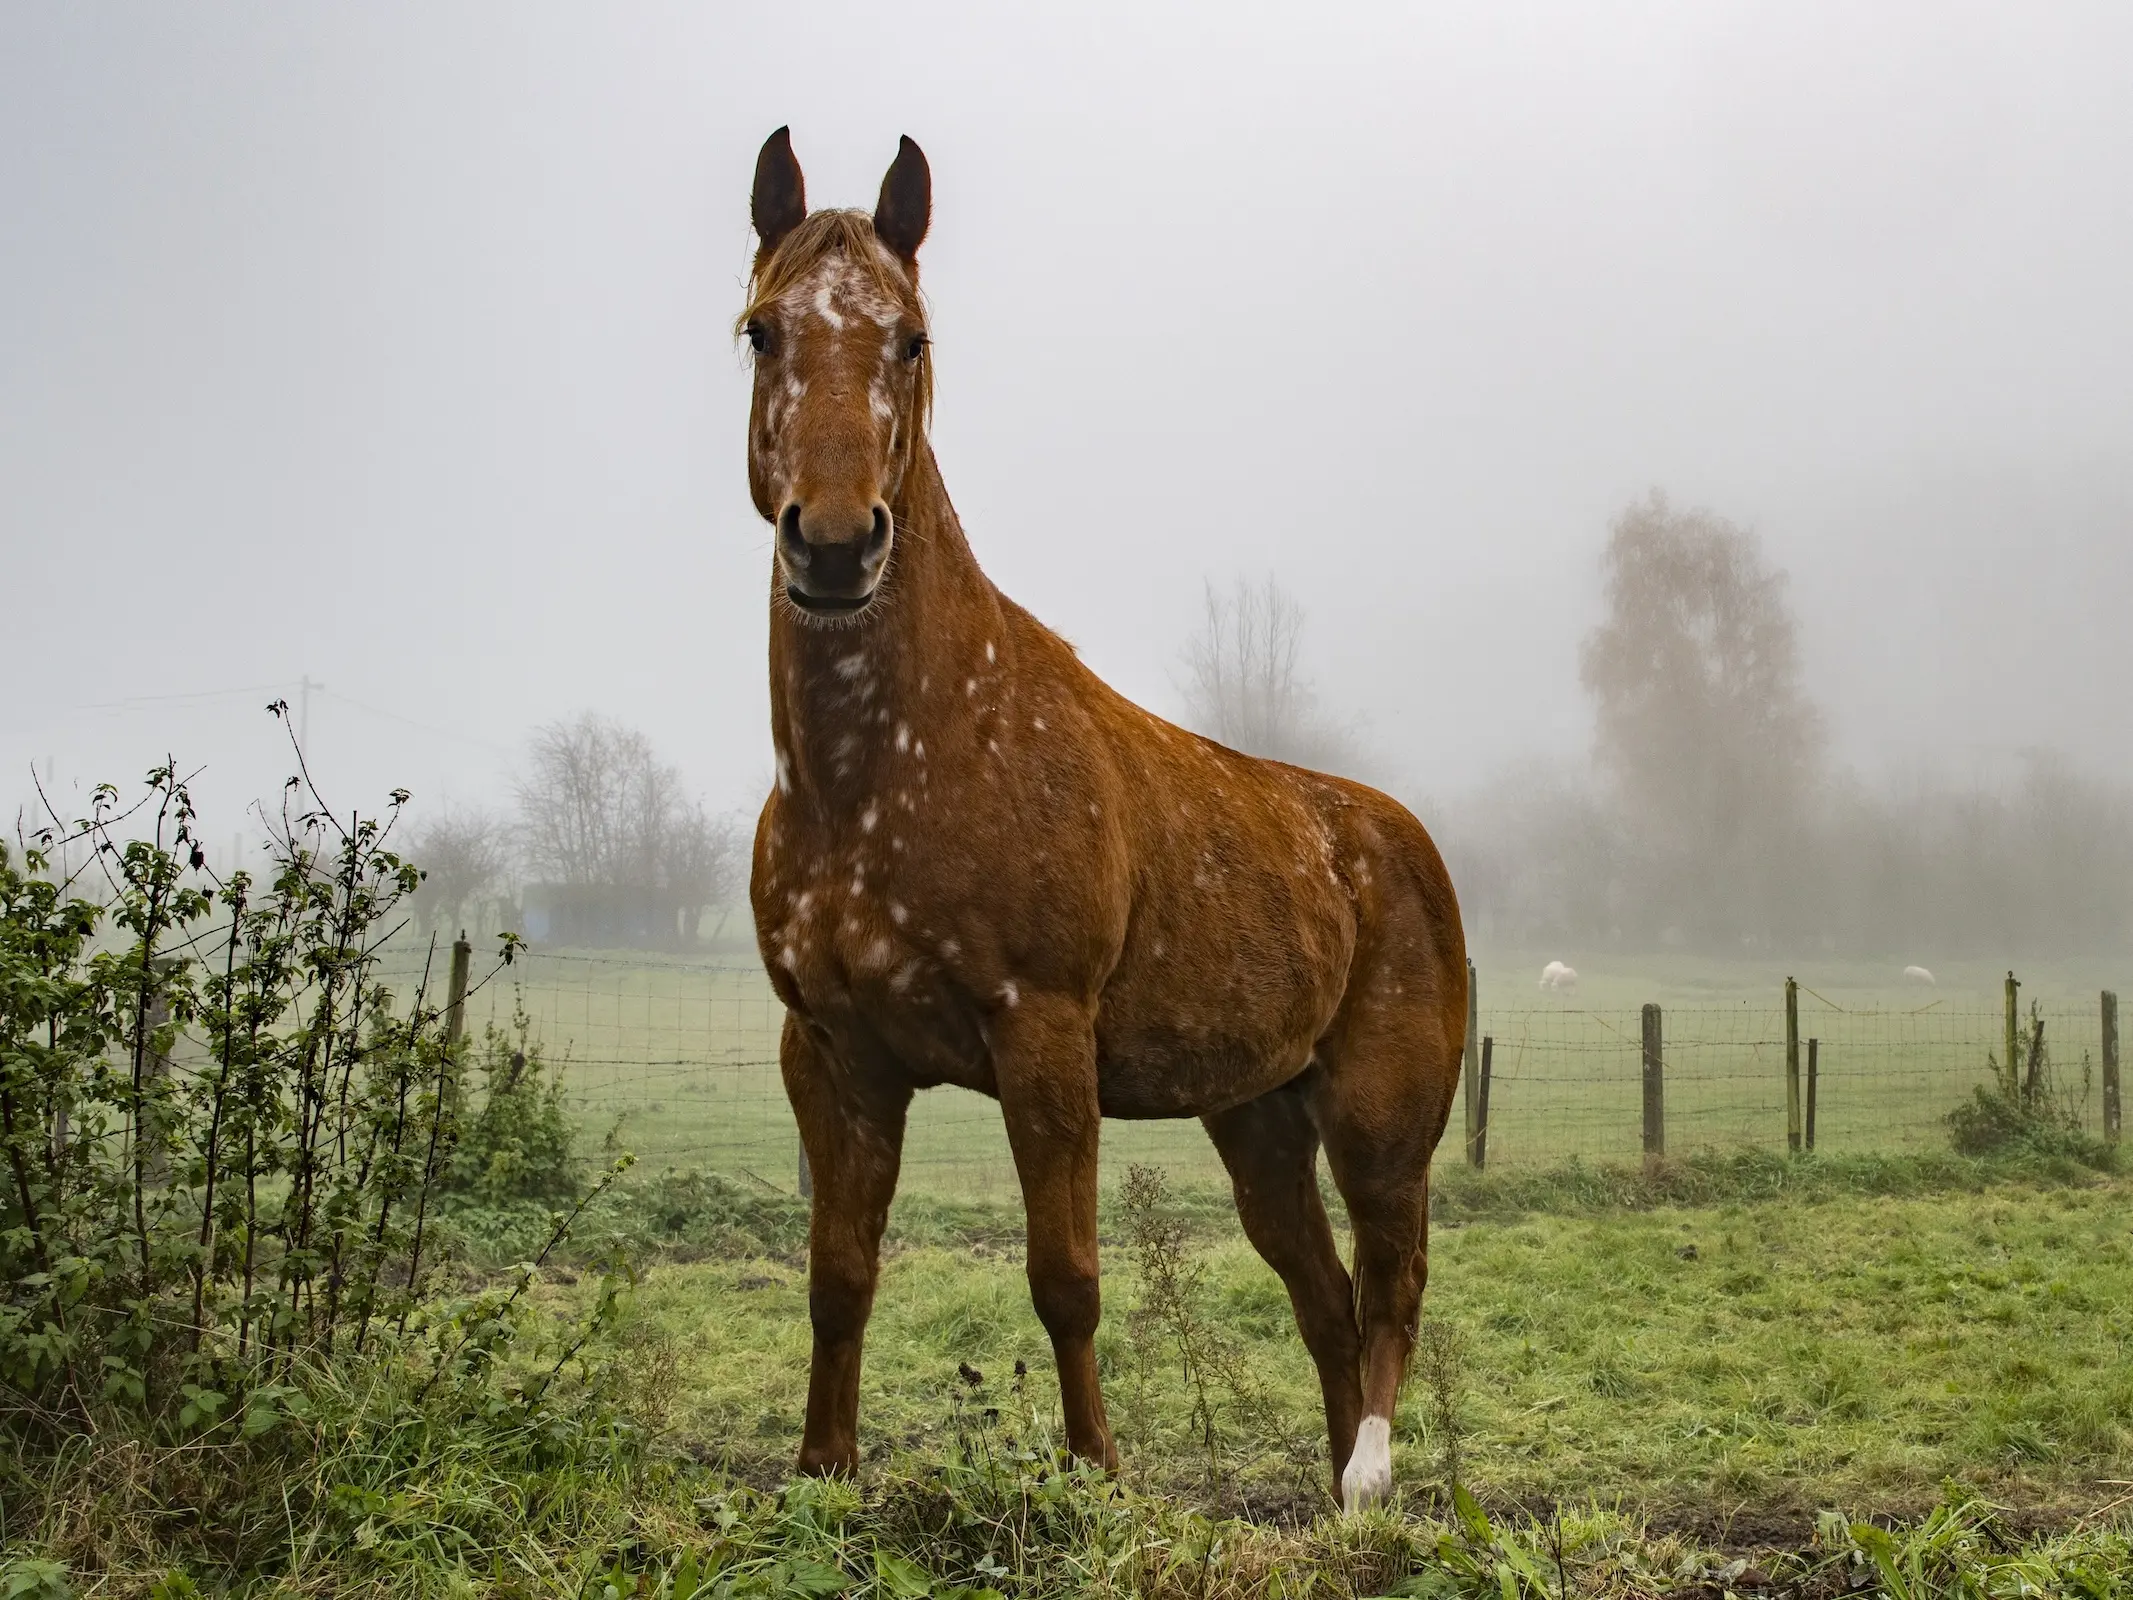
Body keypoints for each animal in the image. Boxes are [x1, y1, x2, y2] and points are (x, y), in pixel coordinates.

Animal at [738, 128, 1467, 1518]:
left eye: (912, 339)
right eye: (760, 331)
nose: (837, 545)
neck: (886, 775)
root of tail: (1405, 843)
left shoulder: (1045, 1038)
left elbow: (1065, 1277)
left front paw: (1096, 1478)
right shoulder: (833, 1054)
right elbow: (838, 1276)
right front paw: (821, 1476)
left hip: (1379, 1123)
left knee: (1393, 1283)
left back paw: (1367, 1478)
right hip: (1259, 1124)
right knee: (1327, 1304)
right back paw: (1332, 1500)